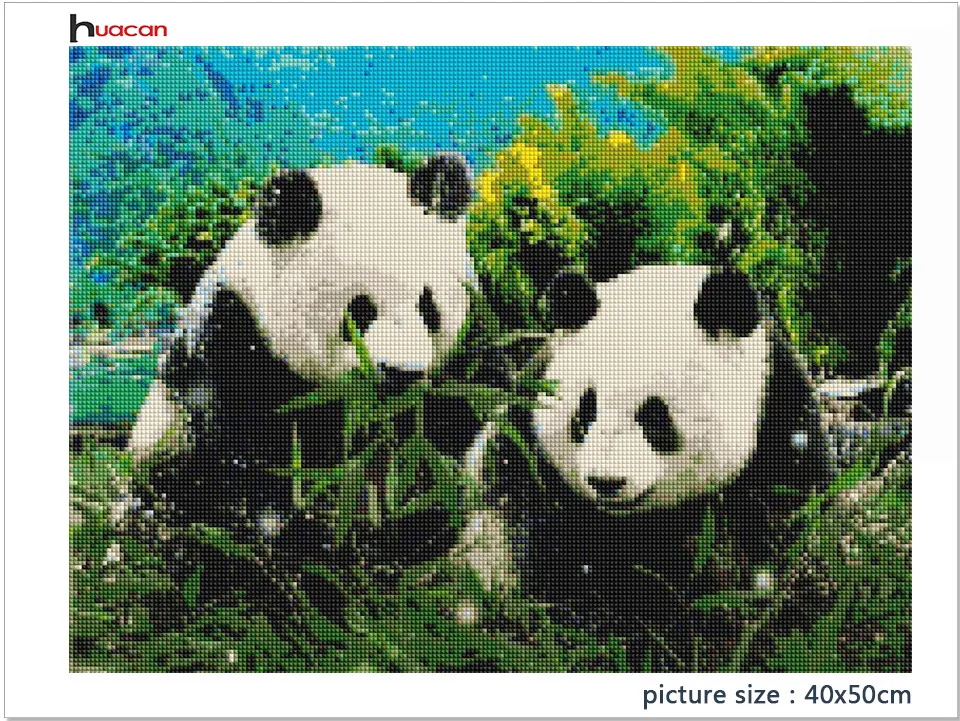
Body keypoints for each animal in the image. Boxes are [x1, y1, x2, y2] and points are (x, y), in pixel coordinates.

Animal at [128, 155, 475, 542]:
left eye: (428, 306)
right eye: (360, 311)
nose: (401, 373)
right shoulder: (231, 344)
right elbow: (233, 454)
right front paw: (289, 521)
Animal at [457, 265, 830, 628]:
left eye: (654, 416)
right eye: (586, 410)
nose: (606, 482)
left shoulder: (779, 433)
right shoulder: (526, 449)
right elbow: (524, 539)